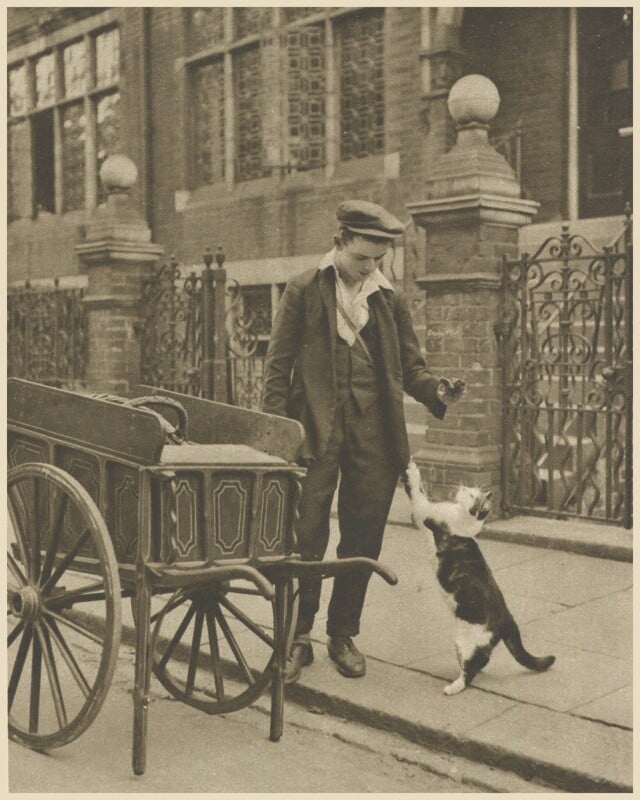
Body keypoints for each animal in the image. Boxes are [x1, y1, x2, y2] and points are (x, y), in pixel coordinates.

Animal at [400, 462, 556, 692]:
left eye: (473, 495)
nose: (464, 487)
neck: (465, 522)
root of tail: (508, 619)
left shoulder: (425, 514)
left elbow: (418, 492)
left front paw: (412, 469)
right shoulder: (426, 523)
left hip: (467, 642)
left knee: (471, 670)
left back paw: (454, 687)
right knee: (481, 661)